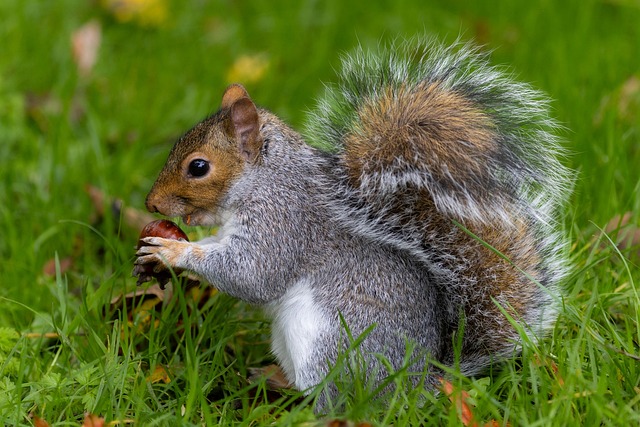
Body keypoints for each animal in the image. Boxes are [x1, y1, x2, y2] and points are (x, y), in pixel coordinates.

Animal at [135, 38, 571, 405]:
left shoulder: (283, 222)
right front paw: (159, 253)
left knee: (337, 399)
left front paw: (172, 251)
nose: (151, 204)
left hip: (330, 344)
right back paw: (272, 379)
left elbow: (252, 276)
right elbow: (217, 251)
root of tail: (418, 383)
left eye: (198, 167)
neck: (265, 178)